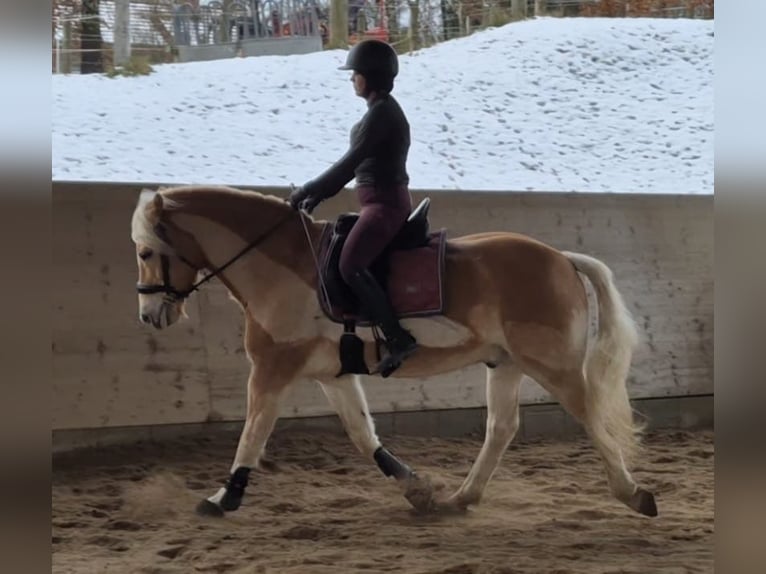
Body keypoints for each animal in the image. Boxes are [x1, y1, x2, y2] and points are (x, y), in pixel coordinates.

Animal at [129, 183, 658, 519]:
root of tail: (561, 258)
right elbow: (363, 437)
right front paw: (417, 490)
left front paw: (223, 498)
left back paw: (634, 495)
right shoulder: (334, 375)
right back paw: (461, 498)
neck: (281, 268)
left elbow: (252, 435)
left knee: (589, 416)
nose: (151, 315)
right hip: (504, 364)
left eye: (144, 251)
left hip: (553, 365)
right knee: (501, 428)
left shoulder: (271, 370)